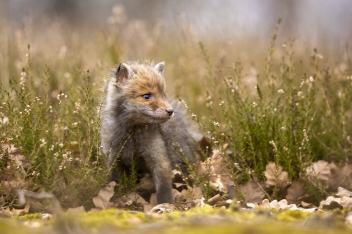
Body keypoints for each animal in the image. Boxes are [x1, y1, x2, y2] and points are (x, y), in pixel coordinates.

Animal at [101, 61, 201, 204]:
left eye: (164, 95)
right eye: (146, 96)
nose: (171, 111)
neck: (132, 135)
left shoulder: (159, 158)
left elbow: (164, 189)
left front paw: (166, 206)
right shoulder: (112, 157)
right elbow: (113, 182)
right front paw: (114, 198)